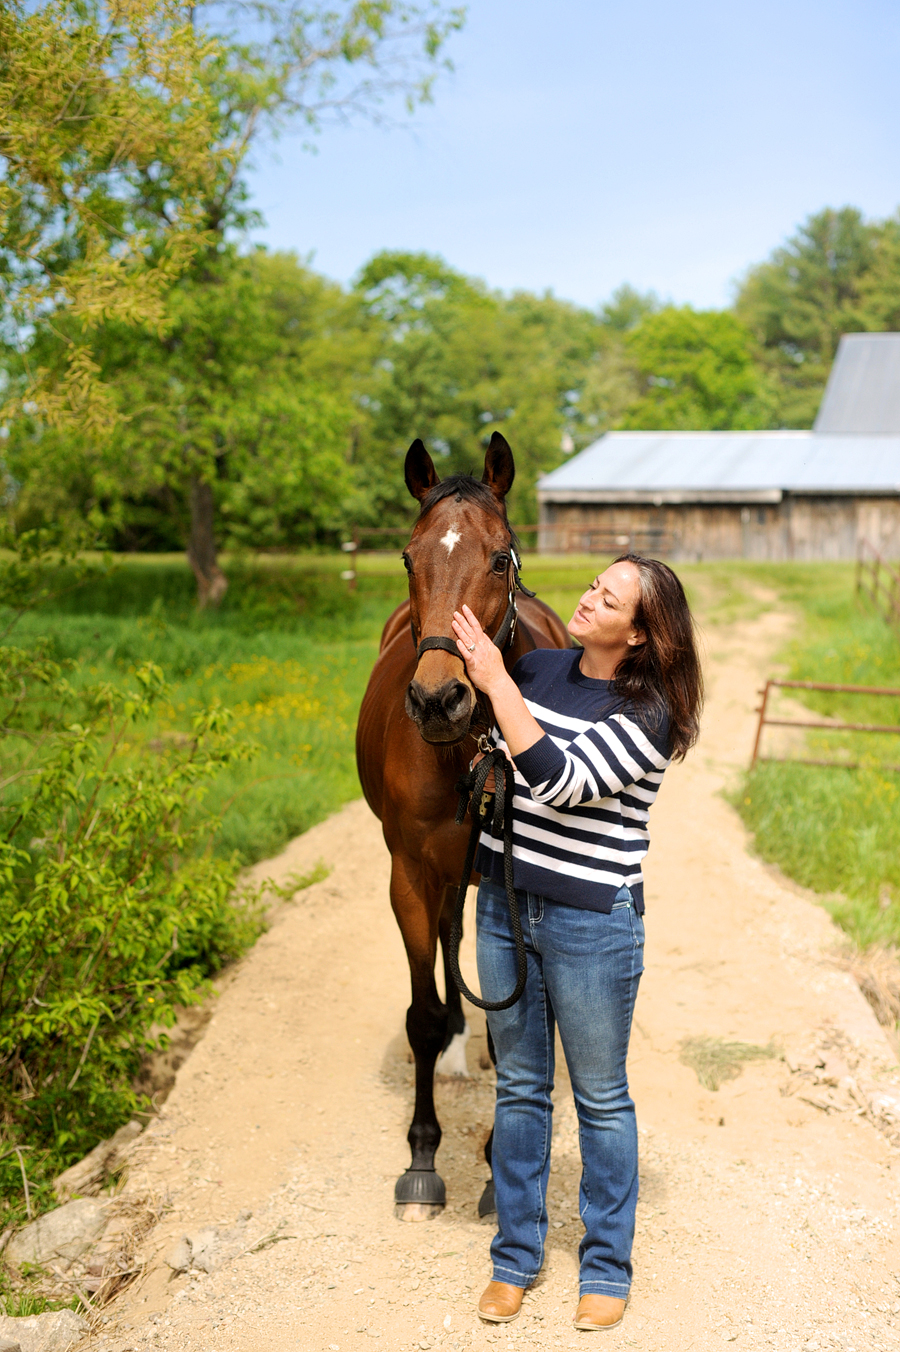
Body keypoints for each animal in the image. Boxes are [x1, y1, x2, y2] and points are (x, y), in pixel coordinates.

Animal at [351, 435, 567, 1227]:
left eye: (500, 558)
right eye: (409, 558)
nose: (440, 698)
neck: (466, 752)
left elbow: (519, 1036)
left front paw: (501, 1169)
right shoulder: (409, 874)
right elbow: (420, 1013)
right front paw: (422, 1159)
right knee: (447, 942)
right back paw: (449, 1043)